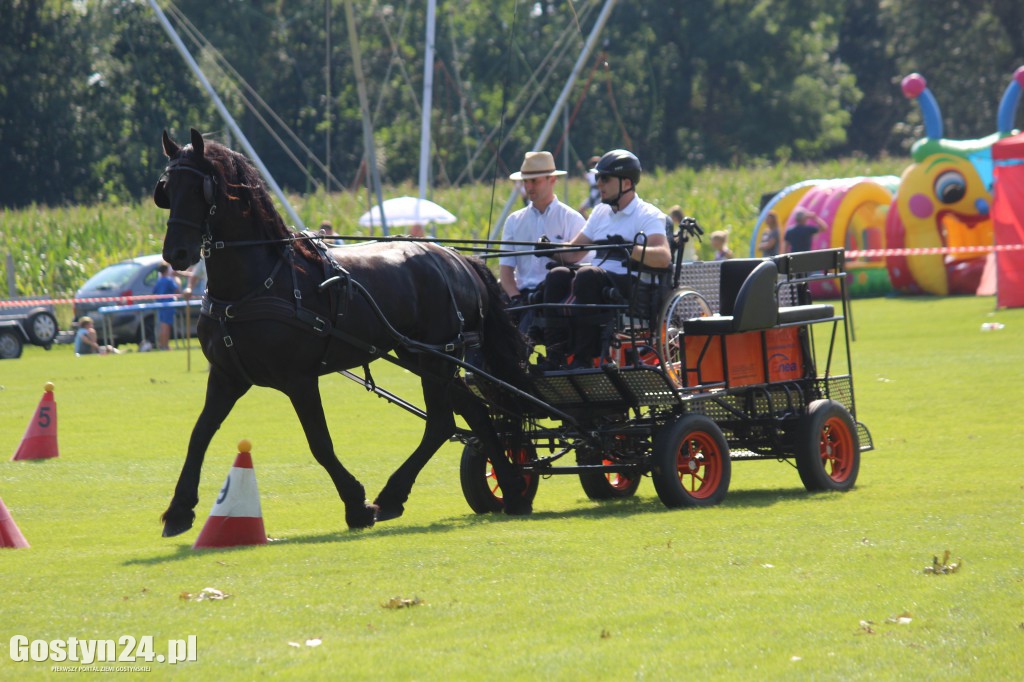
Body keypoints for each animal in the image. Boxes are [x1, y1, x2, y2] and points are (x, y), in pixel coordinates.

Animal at [155, 125, 532, 532]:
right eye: (166, 189)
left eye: (200, 189)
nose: (175, 253)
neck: (256, 283)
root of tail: (457, 257)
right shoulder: (227, 376)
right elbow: (199, 434)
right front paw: (179, 509)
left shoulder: (299, 379)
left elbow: (320, 443)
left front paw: (356, 503)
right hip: (423, 357)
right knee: (472, 412)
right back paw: (510, 487)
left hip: (436, 358)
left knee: (441, 423)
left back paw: (397, 494)